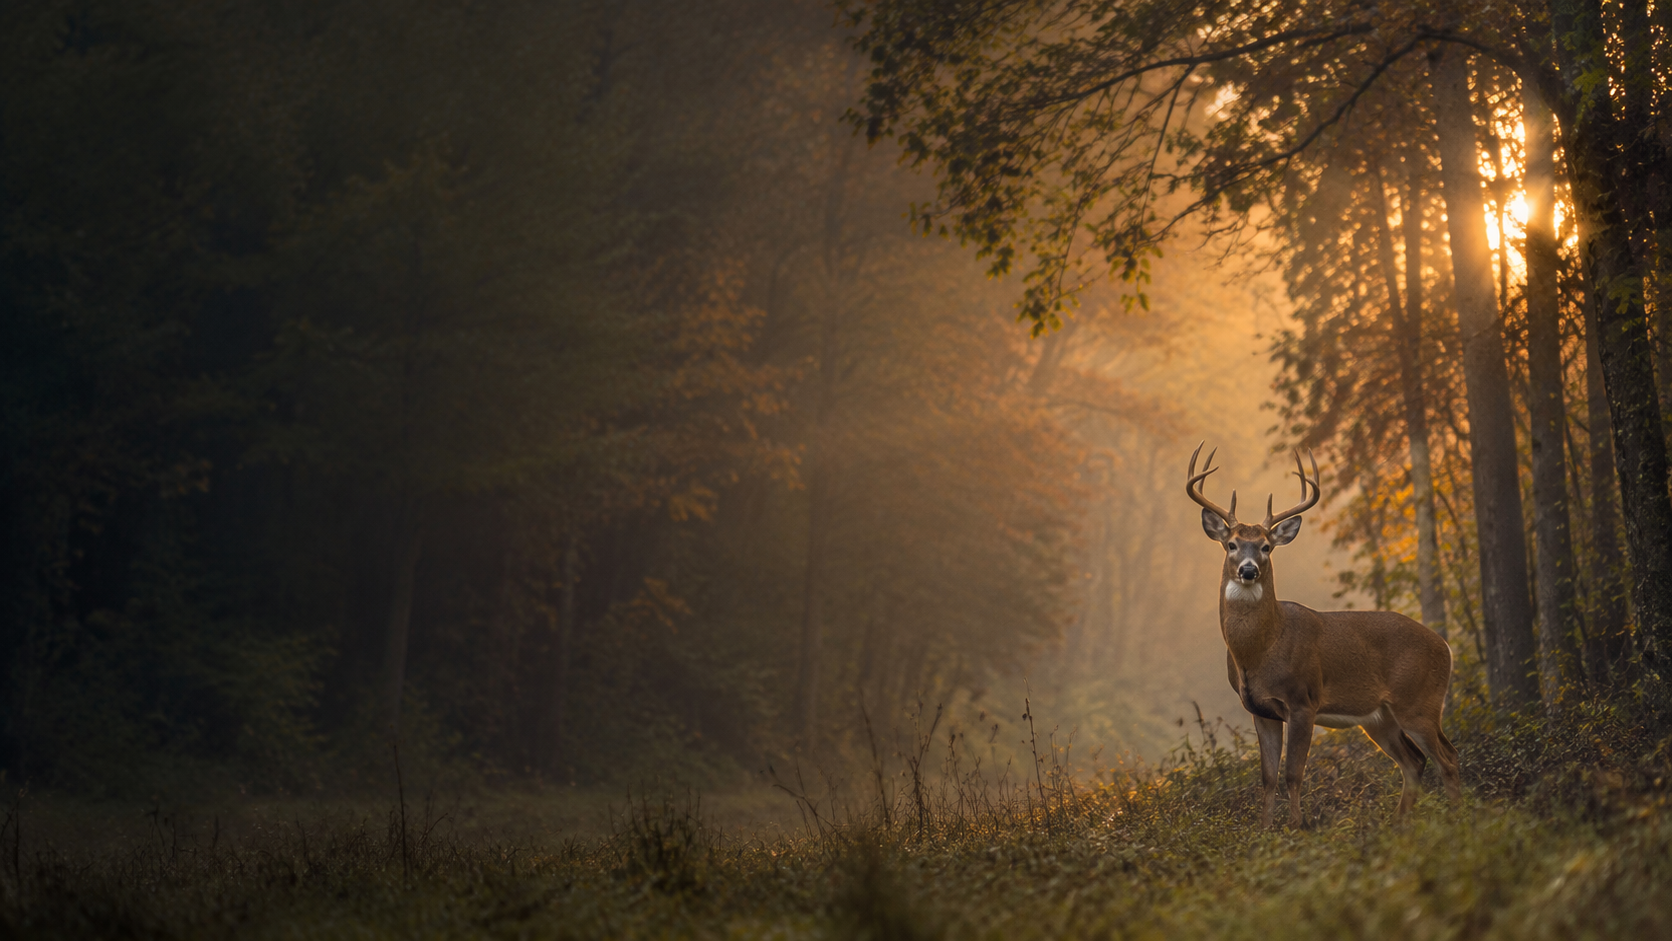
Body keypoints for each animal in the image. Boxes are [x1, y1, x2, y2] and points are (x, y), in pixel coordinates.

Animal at [1186, 443, 1460, 828]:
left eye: (1267, 546)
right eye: (1232, 544)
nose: (1249, 570)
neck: (1261, 650)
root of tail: (1446, 647)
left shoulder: (1303, 700)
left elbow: (1293, 774)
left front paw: (1297, 827)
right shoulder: (1259, 709)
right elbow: (1267, 777)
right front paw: (1265, 830)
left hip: (1419, 701)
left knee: (1447, 758)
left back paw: (1457, 820)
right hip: (1379, 717)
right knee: (1415, 761)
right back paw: (1398, 824)